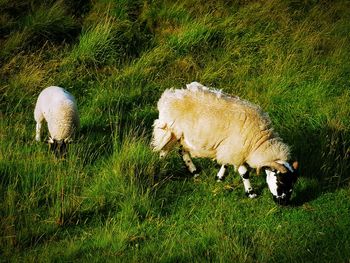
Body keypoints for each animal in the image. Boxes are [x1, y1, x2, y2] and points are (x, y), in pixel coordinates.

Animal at [150, 81, 298, 205]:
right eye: (281, 181)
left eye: (293, 182)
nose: (284, 203)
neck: (259, 141)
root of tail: (168, 95)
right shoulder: (237, 150)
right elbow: (244, 173)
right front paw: (251, 193)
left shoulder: (229, 148)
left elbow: (226, 163)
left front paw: (219, 177)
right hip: (170, 132)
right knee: (163, 151)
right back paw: (162, 168)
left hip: (184, 137)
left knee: (182, 151)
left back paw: (194, 171)